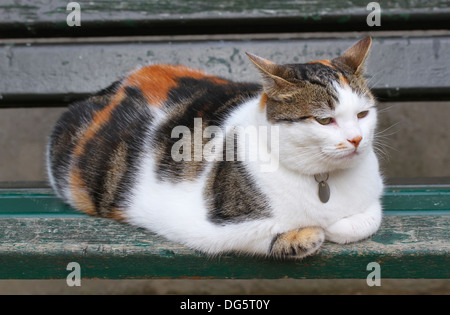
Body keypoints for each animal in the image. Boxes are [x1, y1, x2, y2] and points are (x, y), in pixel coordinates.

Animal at [46, 36, 384, 260]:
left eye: (362, 114)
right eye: (324, 120)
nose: (356, 139)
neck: (324, 181)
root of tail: (116, 84)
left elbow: (369, 218)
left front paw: (339, 226)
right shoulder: (207, 227)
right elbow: (268, 234)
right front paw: (309, 234)